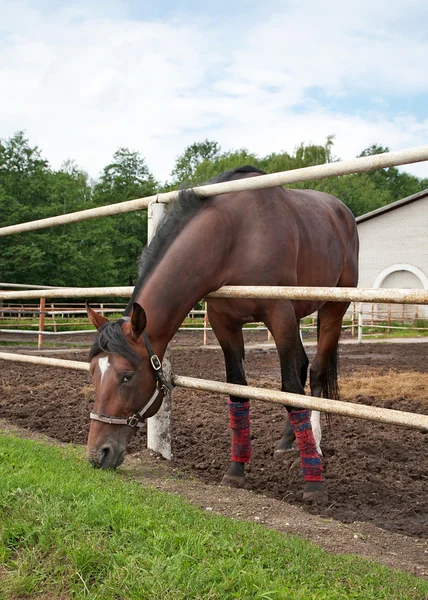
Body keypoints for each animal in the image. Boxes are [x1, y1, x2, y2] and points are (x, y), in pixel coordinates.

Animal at [86, 166, 358, 500]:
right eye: (93, 373)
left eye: (127, 376)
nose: (98, 454)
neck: (237, 236)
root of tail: (342, 212)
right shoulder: (223, 322)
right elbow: (238, 391)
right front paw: (236, 471)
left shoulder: (279, 314)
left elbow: (291, 390)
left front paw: (313, 484)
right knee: (304, 366)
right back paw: (287, 441)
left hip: (334, 307)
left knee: (315, 373)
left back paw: (314, 446)